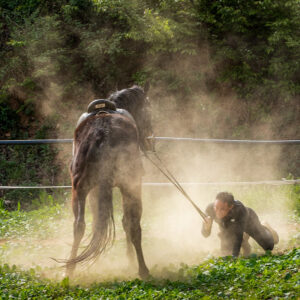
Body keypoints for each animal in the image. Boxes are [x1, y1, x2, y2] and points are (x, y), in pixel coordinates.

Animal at [65, 85, 152, 280]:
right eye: (148, 109)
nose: (150, 139)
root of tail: (101, 133)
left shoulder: (94, 192)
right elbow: (127, 222)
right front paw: (131, 260)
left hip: (80, 190)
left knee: (78, 226)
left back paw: (69, 269)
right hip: (130, 186)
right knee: (133, 225)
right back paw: (143, 269)